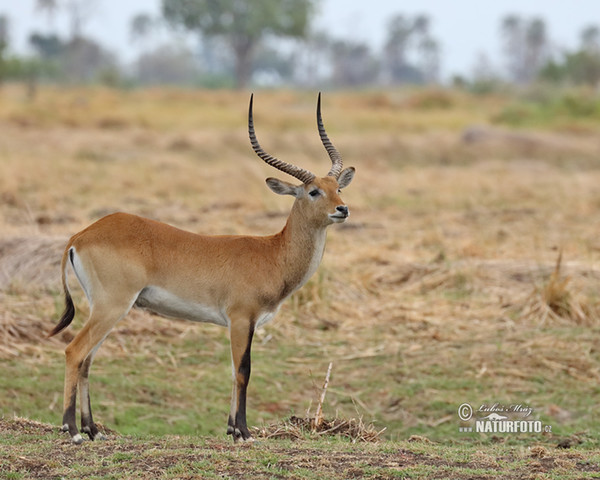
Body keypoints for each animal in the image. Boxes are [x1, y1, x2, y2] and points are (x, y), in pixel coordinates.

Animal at [48, 94, 356, 446]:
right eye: (313, 191)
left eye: (338, 188)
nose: (343, 209)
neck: (272, 253)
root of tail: (81, 234)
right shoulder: (241, 319)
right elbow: (243, 370)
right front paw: (244, 432)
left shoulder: (241, 324)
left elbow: (234, 370)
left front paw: (232, 428)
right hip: (112, 307)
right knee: (74, 351)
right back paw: (72, 430)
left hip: (105, 309)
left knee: (87, 359)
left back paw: (92, 429)